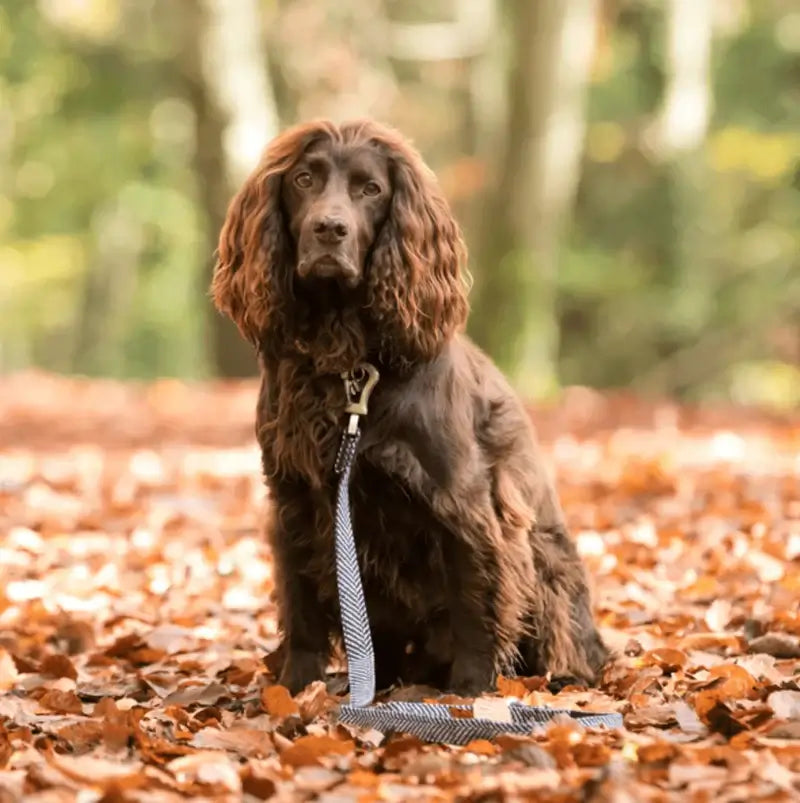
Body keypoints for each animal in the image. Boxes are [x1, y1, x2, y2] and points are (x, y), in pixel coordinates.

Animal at [209, 119, 608, 696]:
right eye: (304, 179)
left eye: (370, 189)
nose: (329, 229)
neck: (347, 361)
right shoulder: (292, 498)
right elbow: (300, 607)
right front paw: (296, 687)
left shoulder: (465, 503)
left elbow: (474, 605)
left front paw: (471, 692)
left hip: (548, 563)